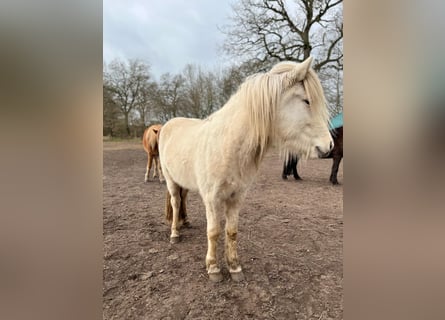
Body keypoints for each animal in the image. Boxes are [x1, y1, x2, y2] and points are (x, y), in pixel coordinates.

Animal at [158, 57, 332, 282]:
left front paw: (234, 267)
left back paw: (184, 223)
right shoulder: (212, 199)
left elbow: (231, 231)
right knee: (176, 202)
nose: (329, 146)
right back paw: (175, 234)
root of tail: (168, 124)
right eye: (306, 100)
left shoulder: (237, 197)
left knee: (183, 199)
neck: (228, 146)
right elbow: (213, 232)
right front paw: (213, 268)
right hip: (170, 180)